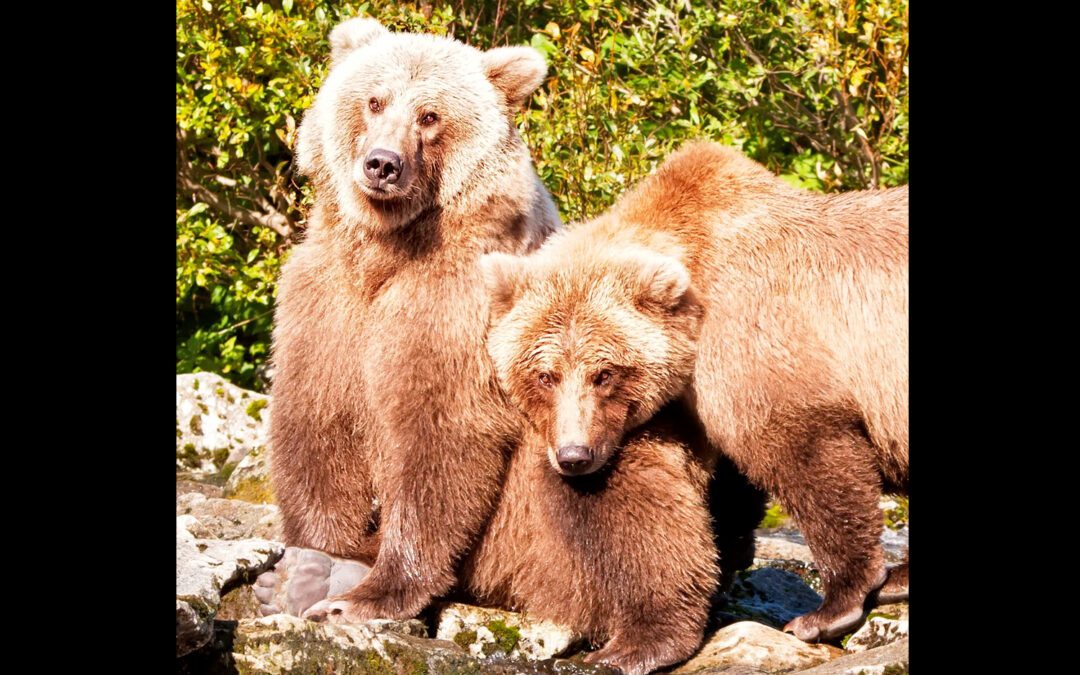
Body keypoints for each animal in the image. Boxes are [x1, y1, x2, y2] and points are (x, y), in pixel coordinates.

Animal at [265, 17, 561, 622]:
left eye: (430, 115)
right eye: (374, 100)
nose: (382, 163)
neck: (388, 246)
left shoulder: (453, 307)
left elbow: (437, 431)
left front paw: (369, 593)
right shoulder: (326, 299)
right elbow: (315, 417)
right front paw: (318, 556)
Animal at [486, 140, 907, 643]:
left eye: (604, 373)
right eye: (544, 375)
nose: (574, 456)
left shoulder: (758, 343)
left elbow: (808, 455)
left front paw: (829, 608)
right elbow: (729, 485)